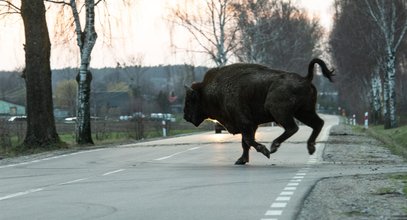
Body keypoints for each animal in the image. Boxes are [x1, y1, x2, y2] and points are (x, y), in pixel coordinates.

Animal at [185, 57, 334, 164]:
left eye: (190, 100)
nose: (185, 116)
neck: (212, 91)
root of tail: (305, 78)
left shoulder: (245, 123)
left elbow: (248, 140)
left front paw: (264, 151)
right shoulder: (250, 125)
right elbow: (245, 143)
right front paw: (241, 160)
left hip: (279, 111)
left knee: (293, 127)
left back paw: (274, 147)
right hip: (303, 112)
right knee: (317, 123)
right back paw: (310, 148)